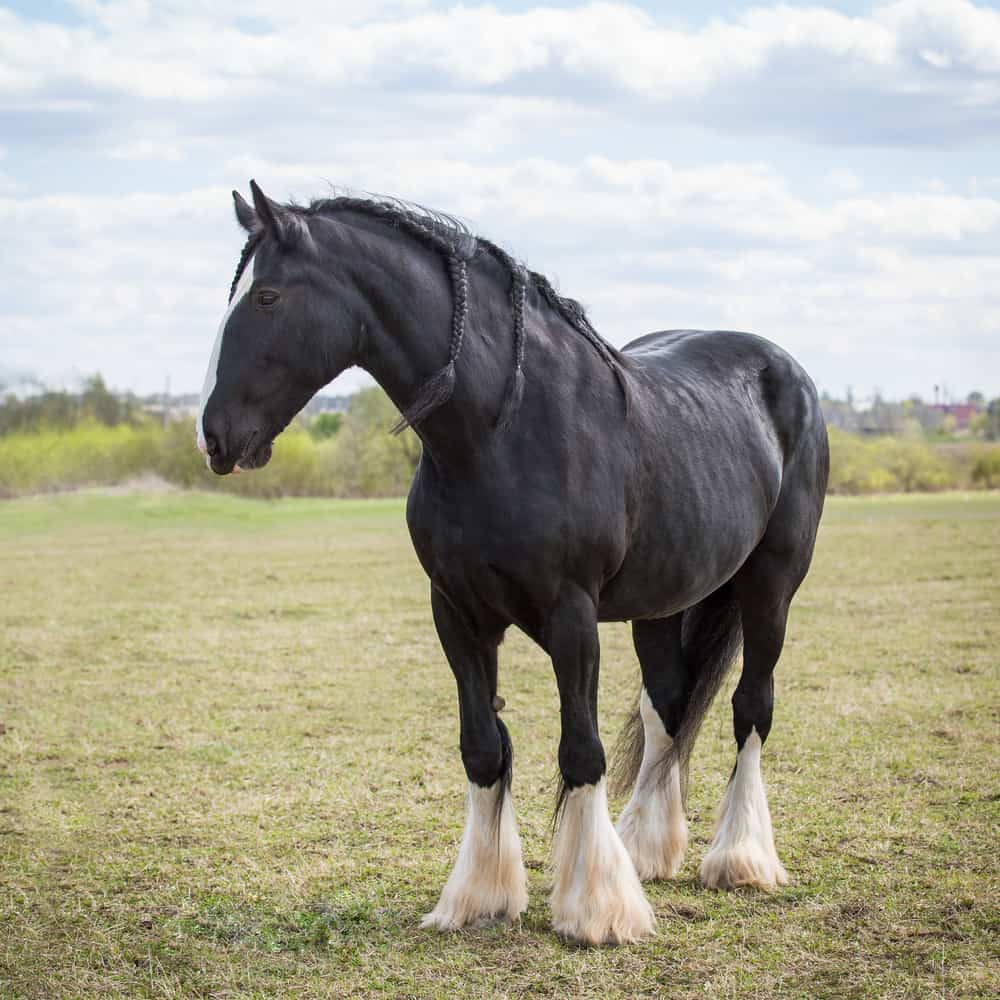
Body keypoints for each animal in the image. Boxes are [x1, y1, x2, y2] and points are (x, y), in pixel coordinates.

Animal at [197, 182, 828, 944]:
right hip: (661, 603)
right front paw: (479, 896)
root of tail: (782, 369)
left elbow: (580, 750)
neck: (501, 431)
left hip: (770, 588)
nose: (214, 436)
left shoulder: (571, 616)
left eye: (267, 298)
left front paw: (596, 910)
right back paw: (646, 849)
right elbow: (483, 747)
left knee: (750, 708)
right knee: (667, 709)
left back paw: (739, 859)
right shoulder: (457, 615)